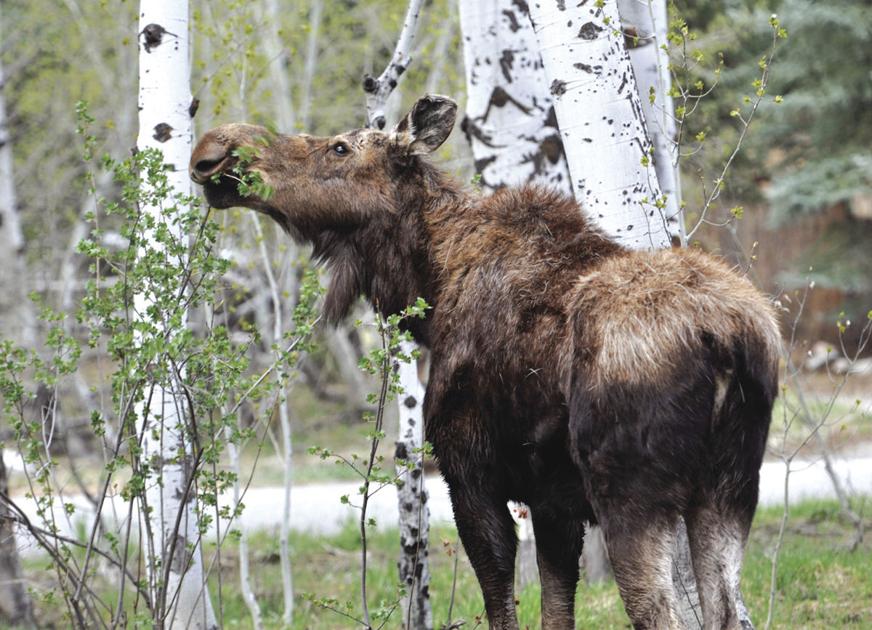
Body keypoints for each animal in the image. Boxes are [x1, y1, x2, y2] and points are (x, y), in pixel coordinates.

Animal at [190, 95, 779, 630]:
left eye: (339, 147)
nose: (215, 151)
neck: (430, 285)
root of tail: (726, 339)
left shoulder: (470, 473)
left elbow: (502, 603)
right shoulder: (553, 502)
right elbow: (556, 611)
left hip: (632, 495)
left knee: (658, 613)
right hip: (730, 490)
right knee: (728, 611)